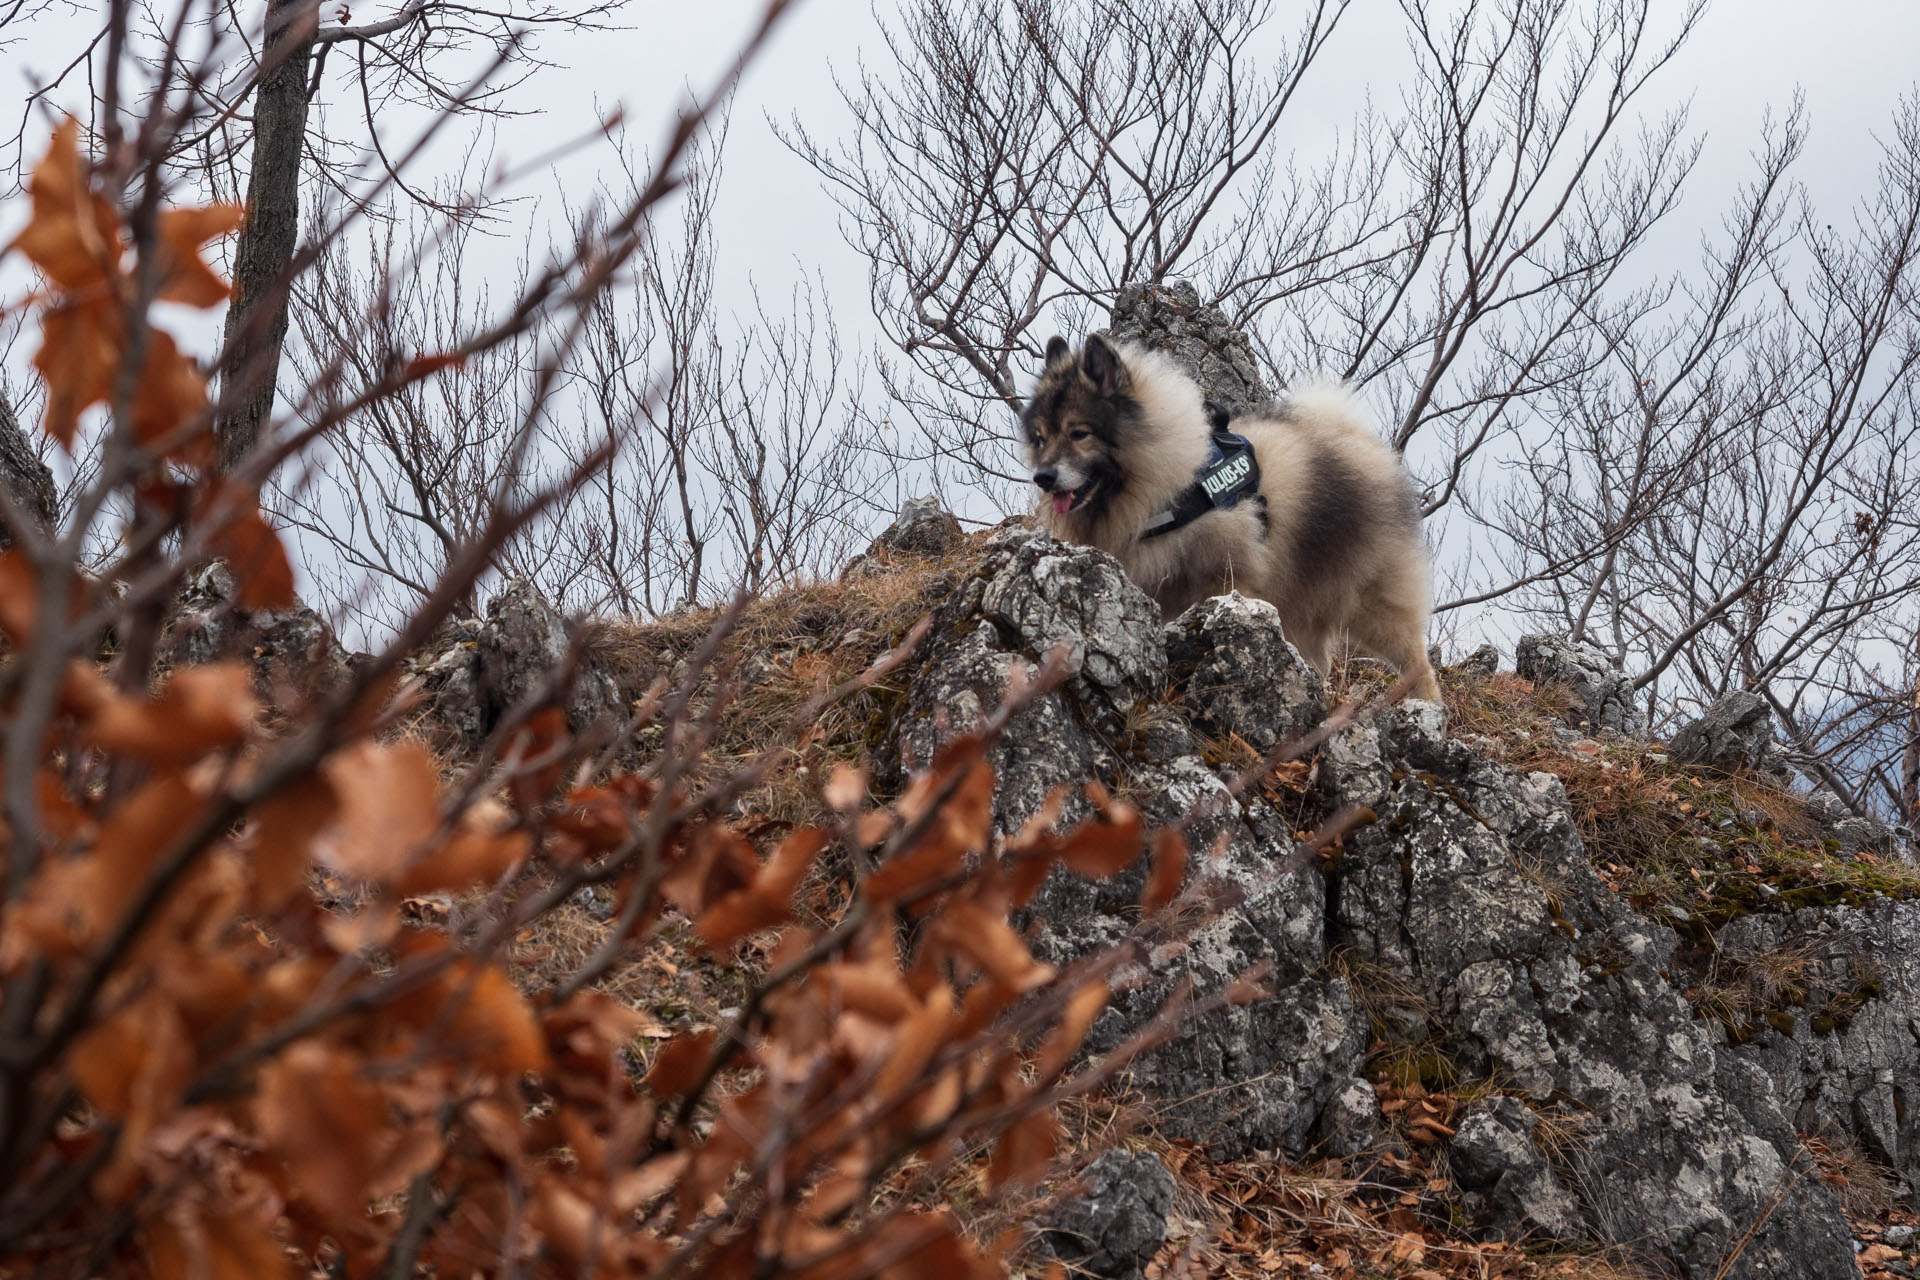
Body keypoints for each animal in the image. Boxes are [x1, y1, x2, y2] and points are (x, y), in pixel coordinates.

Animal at [1021, 333, 1443, 702]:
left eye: (1079, 433)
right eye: (1040, 438)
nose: (1043, 477)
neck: (1169, 477)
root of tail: (1357, 439)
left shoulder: (1226, 574)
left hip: (1373, 601)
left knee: (1415, 661)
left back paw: (1426, 706)